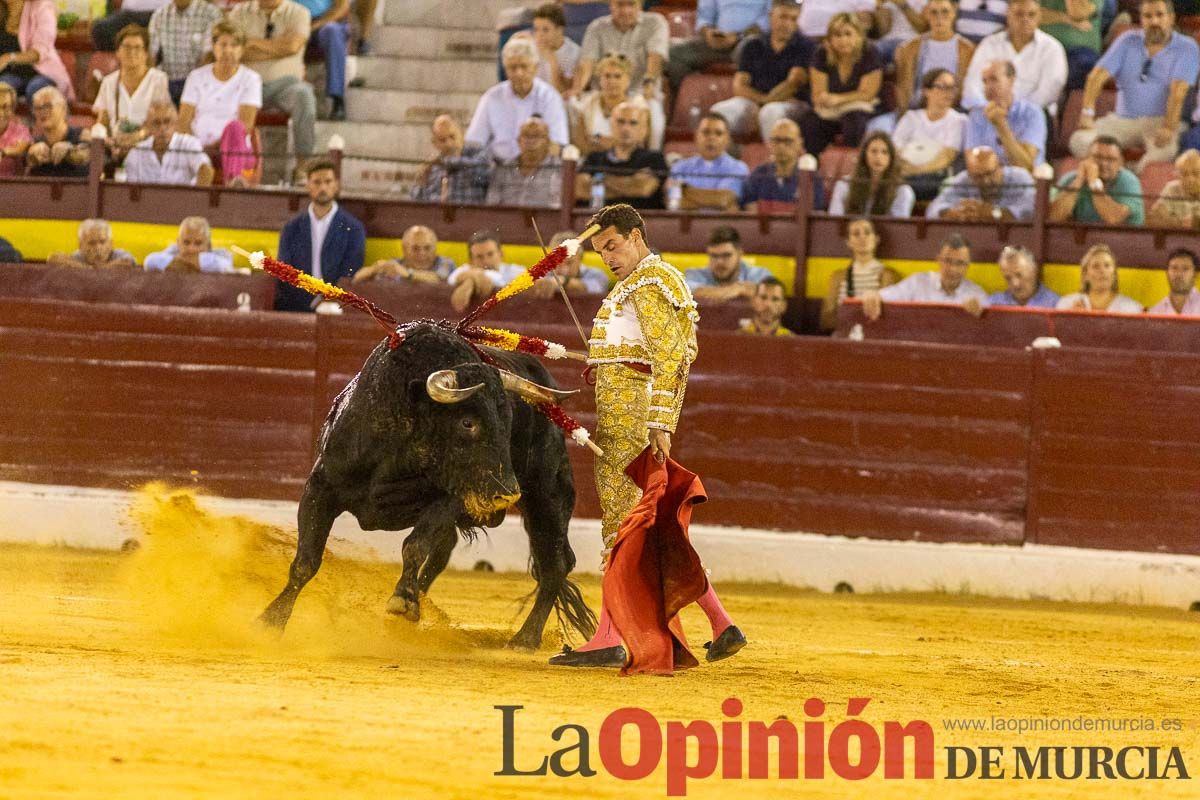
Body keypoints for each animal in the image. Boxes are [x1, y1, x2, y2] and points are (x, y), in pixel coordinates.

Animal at [264, 321, 600, 647]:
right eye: (468, 422)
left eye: (508, 422)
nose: (507, 493)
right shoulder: (320, 487)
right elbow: (306, 560)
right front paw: (271, 620)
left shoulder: (450, 501)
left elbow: (415, 546)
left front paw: (403, 600)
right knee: (449, 550)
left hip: (547, 497)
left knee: (555, 565)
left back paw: (525, 639)